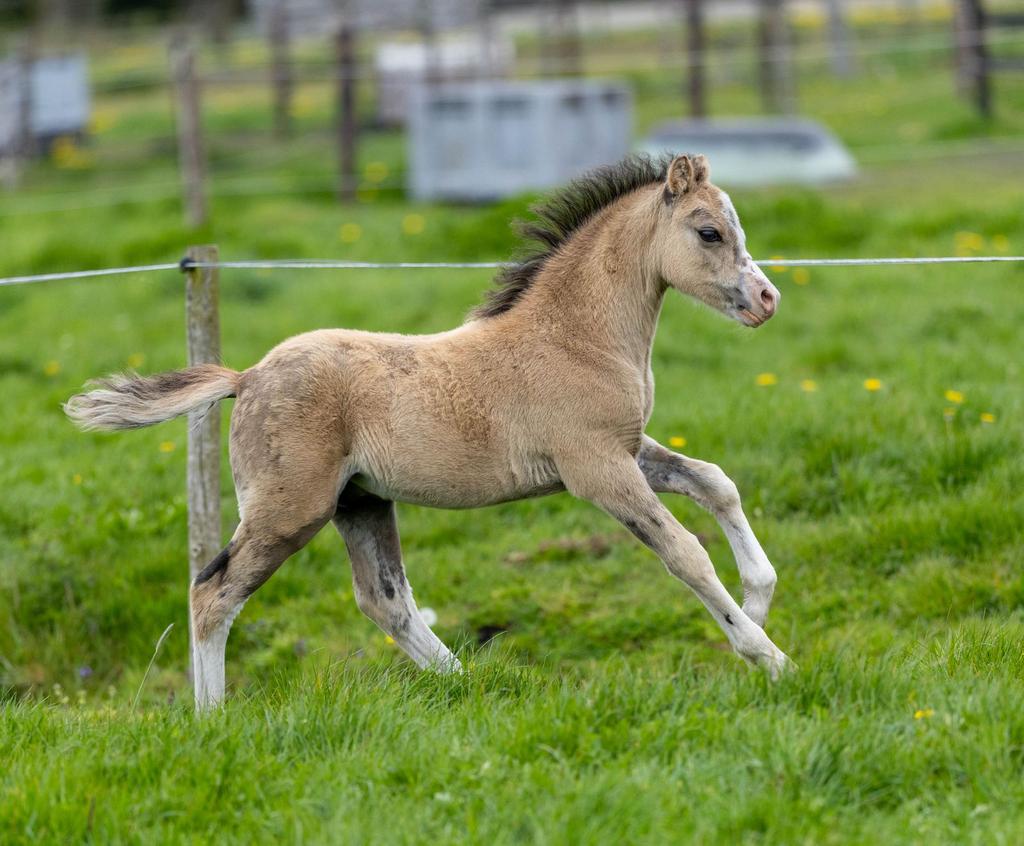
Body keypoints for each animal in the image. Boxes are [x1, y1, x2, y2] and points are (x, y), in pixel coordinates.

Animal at [66, 153, 788, 711]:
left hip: (359, 502)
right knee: (212, 593)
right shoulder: (596, 469)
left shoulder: (628, 450)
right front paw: (767, 655)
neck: (575, 338)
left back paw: (467, 685)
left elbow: (716, 484)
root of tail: (246, 377)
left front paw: (758, 602)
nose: (767, 300)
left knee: (386, 602)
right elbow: (686, 553)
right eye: (709, 231)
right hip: (288, 511)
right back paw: (211, 720)